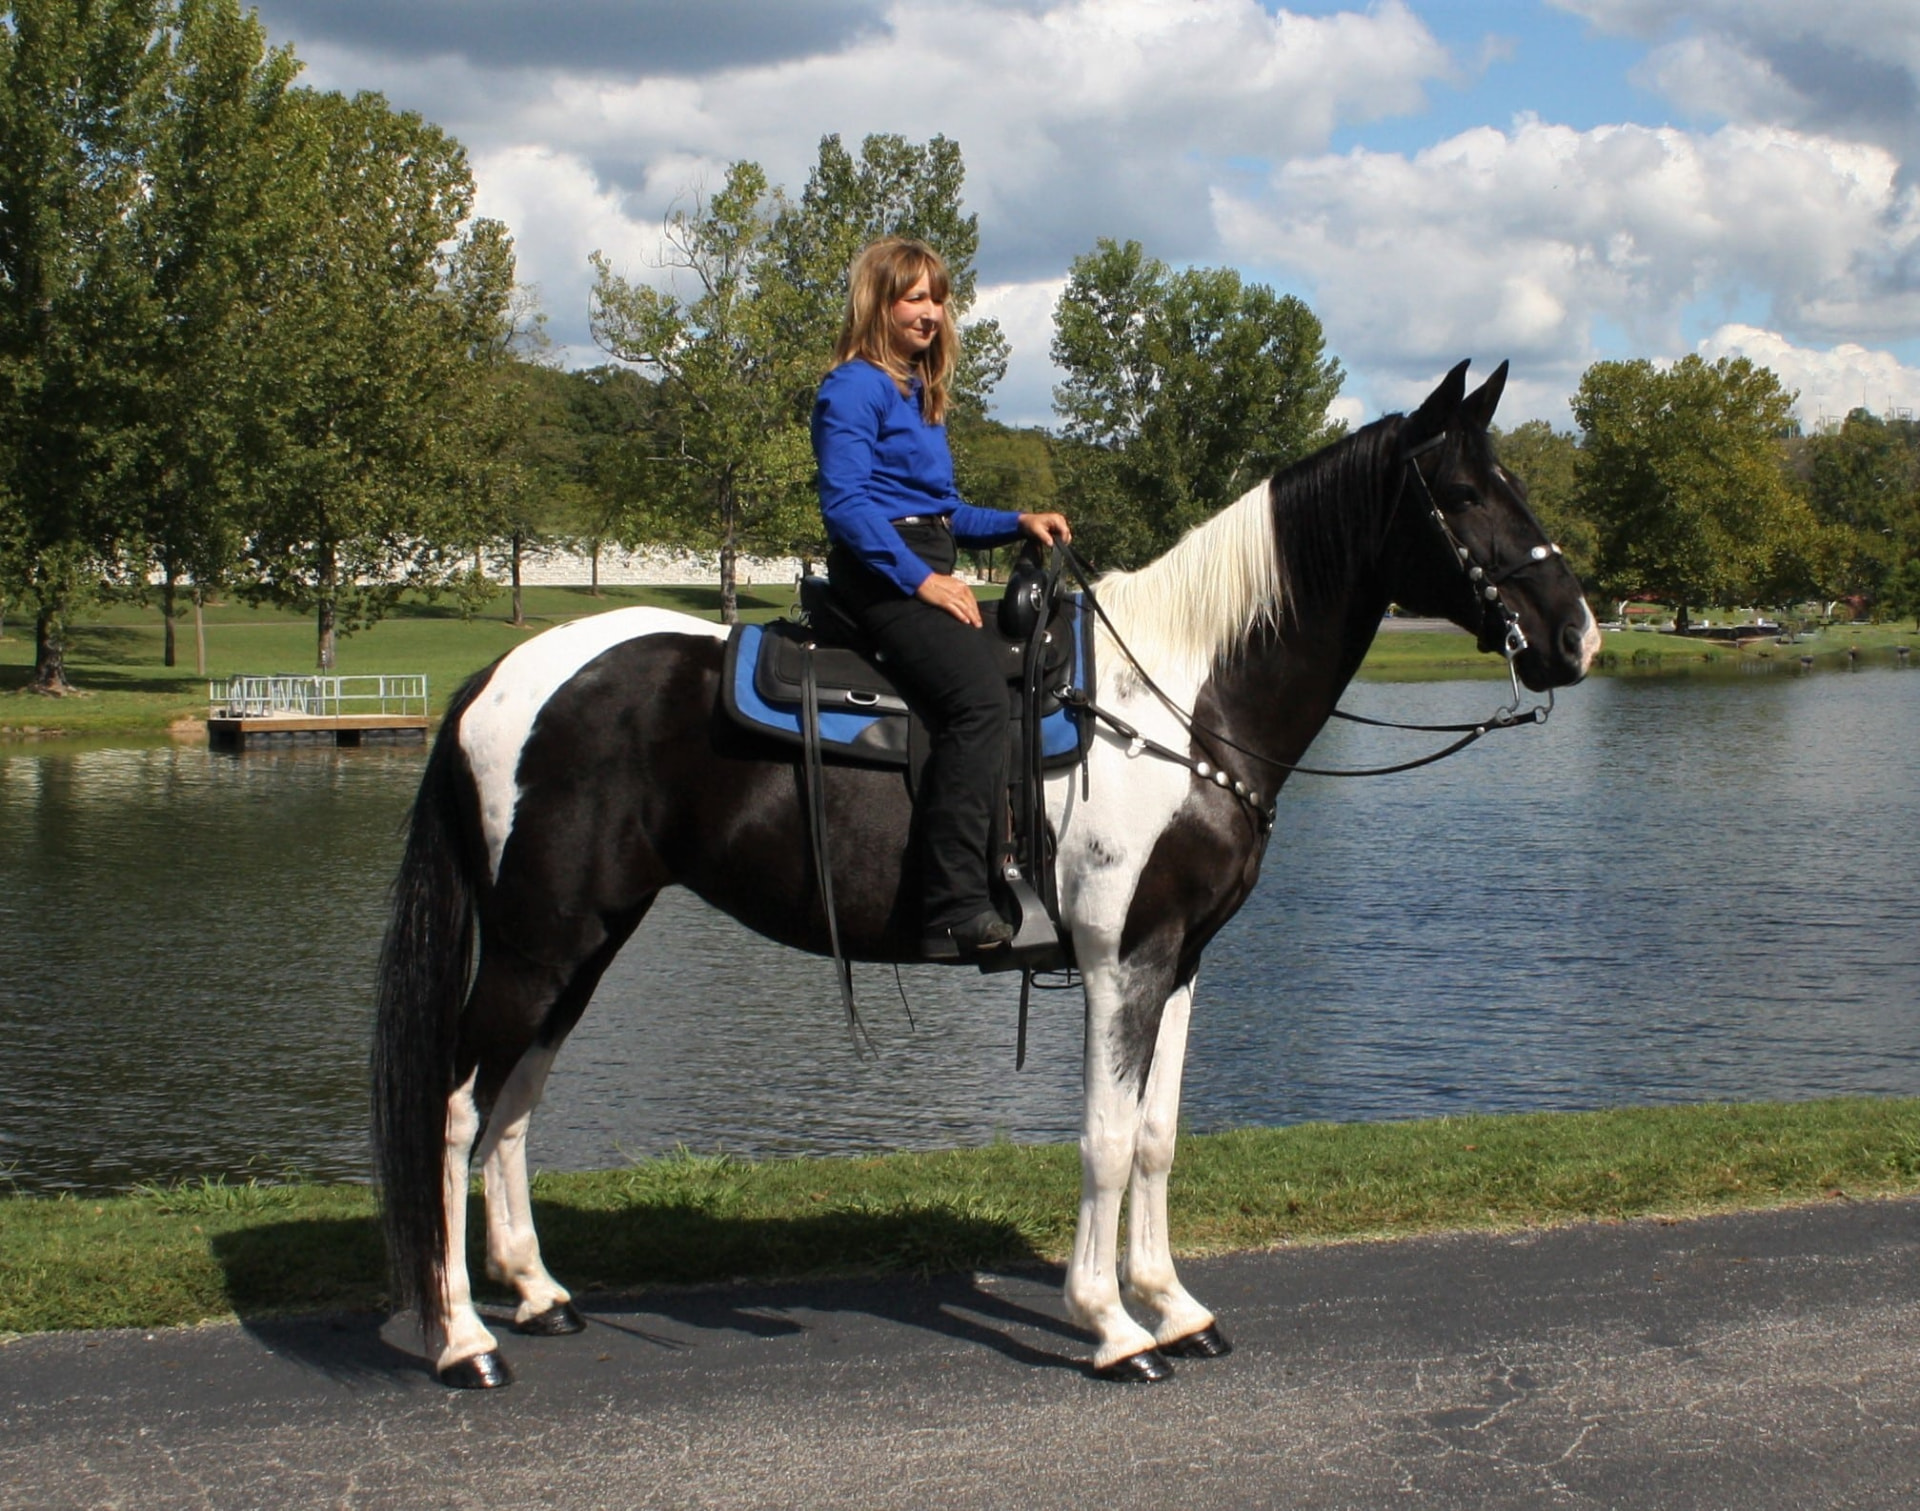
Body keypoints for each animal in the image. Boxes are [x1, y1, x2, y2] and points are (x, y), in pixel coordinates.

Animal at [372, 358, 1600, 1388]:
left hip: (583, 937)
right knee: (456, 1103)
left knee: (516, 1099)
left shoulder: (1180, 959)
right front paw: (1112, 1327)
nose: (1579, 636)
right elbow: (1106, 1141)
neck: (1179, 703)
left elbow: (1158, 1138)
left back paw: (538, 1294)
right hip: (537, 939)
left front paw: (1175, 1307)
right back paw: (464, 1338)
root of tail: (499, 674)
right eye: (1468, 493)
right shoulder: (1119, 961)